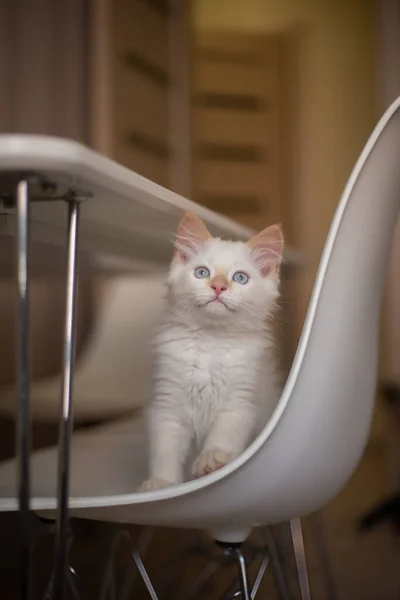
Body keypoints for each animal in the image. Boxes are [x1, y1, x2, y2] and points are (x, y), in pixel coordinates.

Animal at [141, 212, 284, 492]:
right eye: (202, 273)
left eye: (240, 278)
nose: (218, 287)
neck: (211, 339)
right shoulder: (167, 404)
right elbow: (165, 450)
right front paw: (163, 483)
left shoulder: (240, 403)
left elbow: (223, 436)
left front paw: (211, 459)